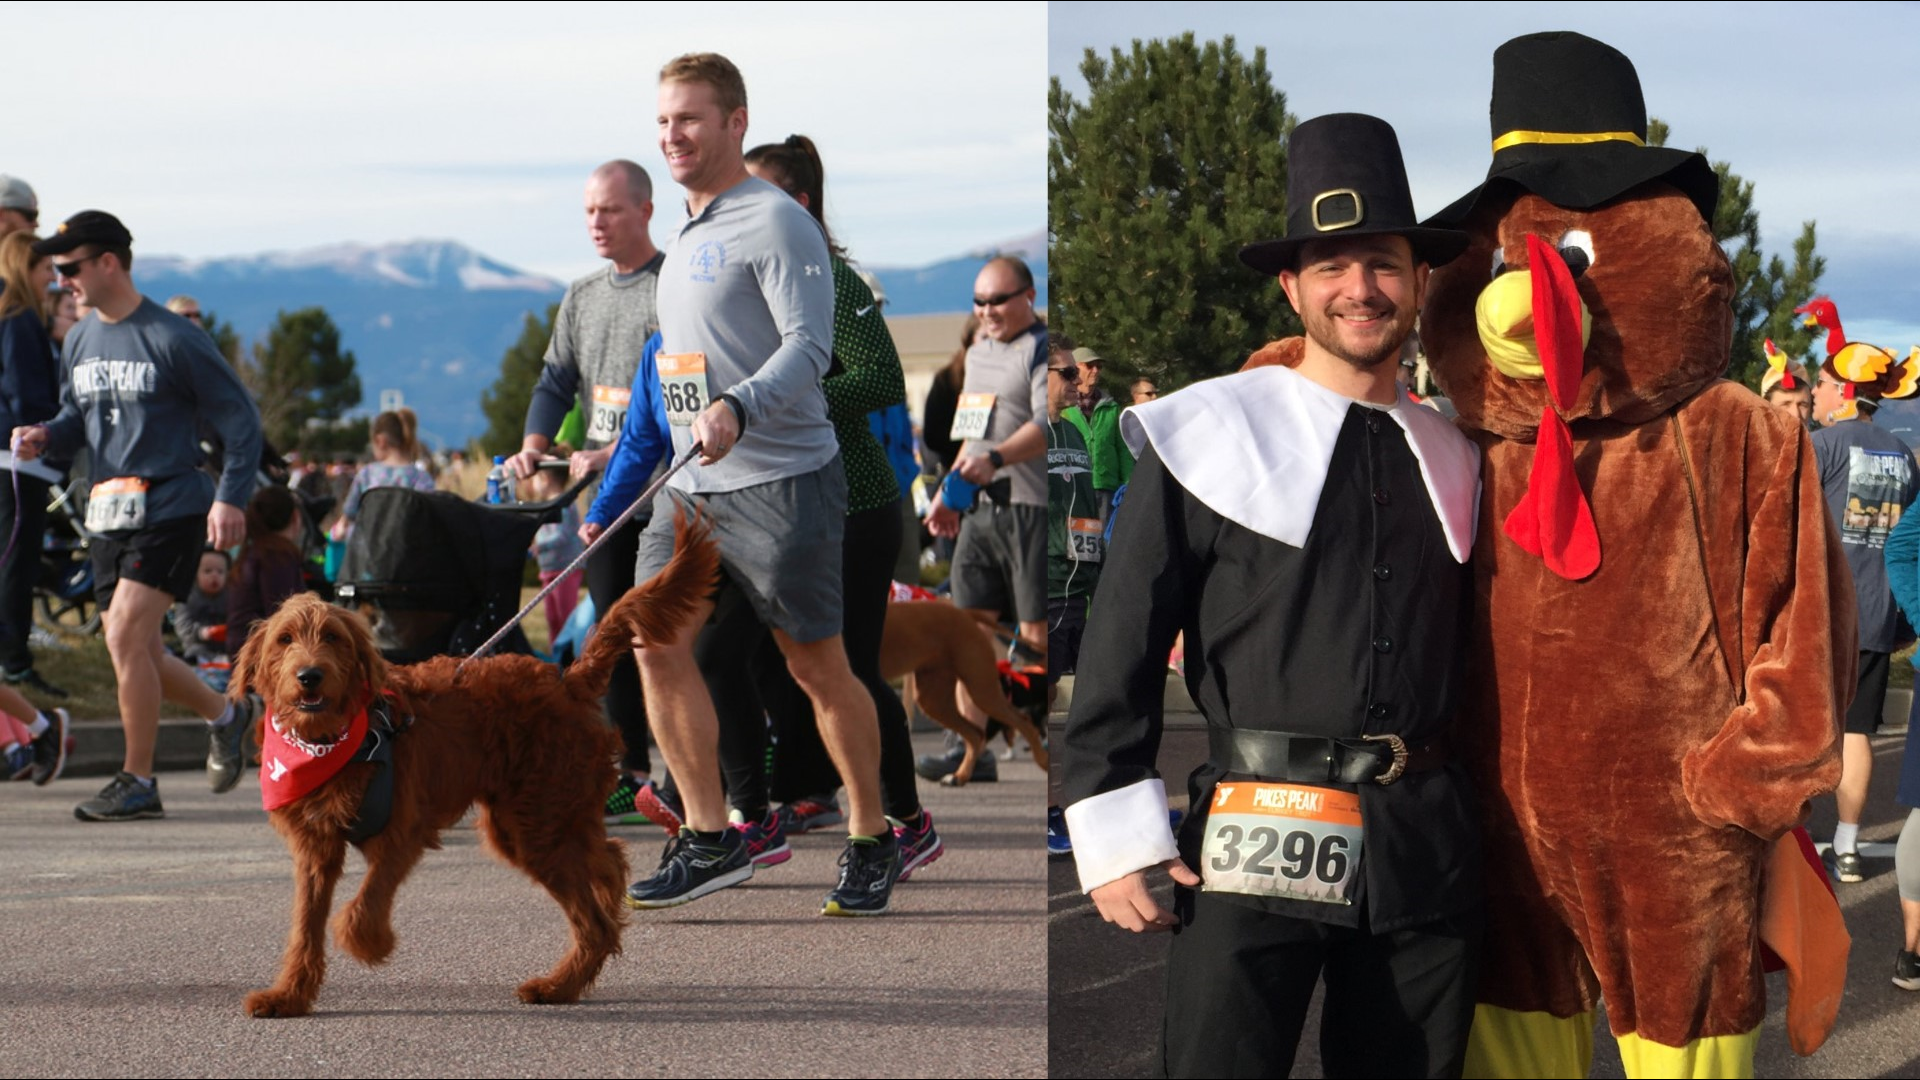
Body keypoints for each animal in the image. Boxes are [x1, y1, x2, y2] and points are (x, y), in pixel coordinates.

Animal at [236, 507, 718, 1014]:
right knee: (606, 859)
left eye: (332, 637)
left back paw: (558, 984)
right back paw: (596, 917)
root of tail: (568, 679)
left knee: (596, 922)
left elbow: (364, 904)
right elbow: (305, 927)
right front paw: (290, 994)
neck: (336, 737)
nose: (310, 676)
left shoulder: (402, 832)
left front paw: (371, 943)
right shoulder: (315, 848)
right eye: (285, 639)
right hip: (541, 816)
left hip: (536, 822)